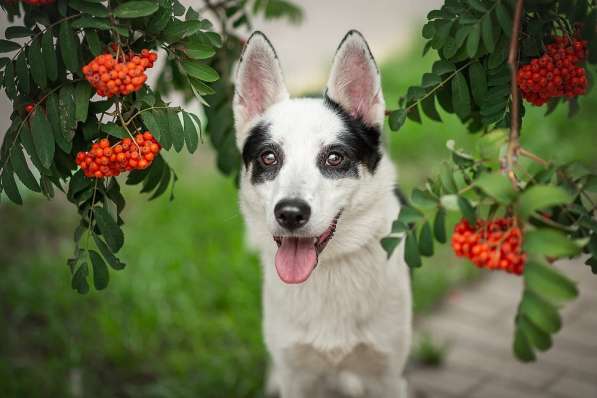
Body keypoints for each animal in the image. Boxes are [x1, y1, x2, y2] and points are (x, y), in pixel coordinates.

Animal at [232, 31, 410, 398]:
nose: (290, 213)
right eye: (269, 157)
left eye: (334, 158)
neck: (328, 271)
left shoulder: (388, 374)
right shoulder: (296, 375)